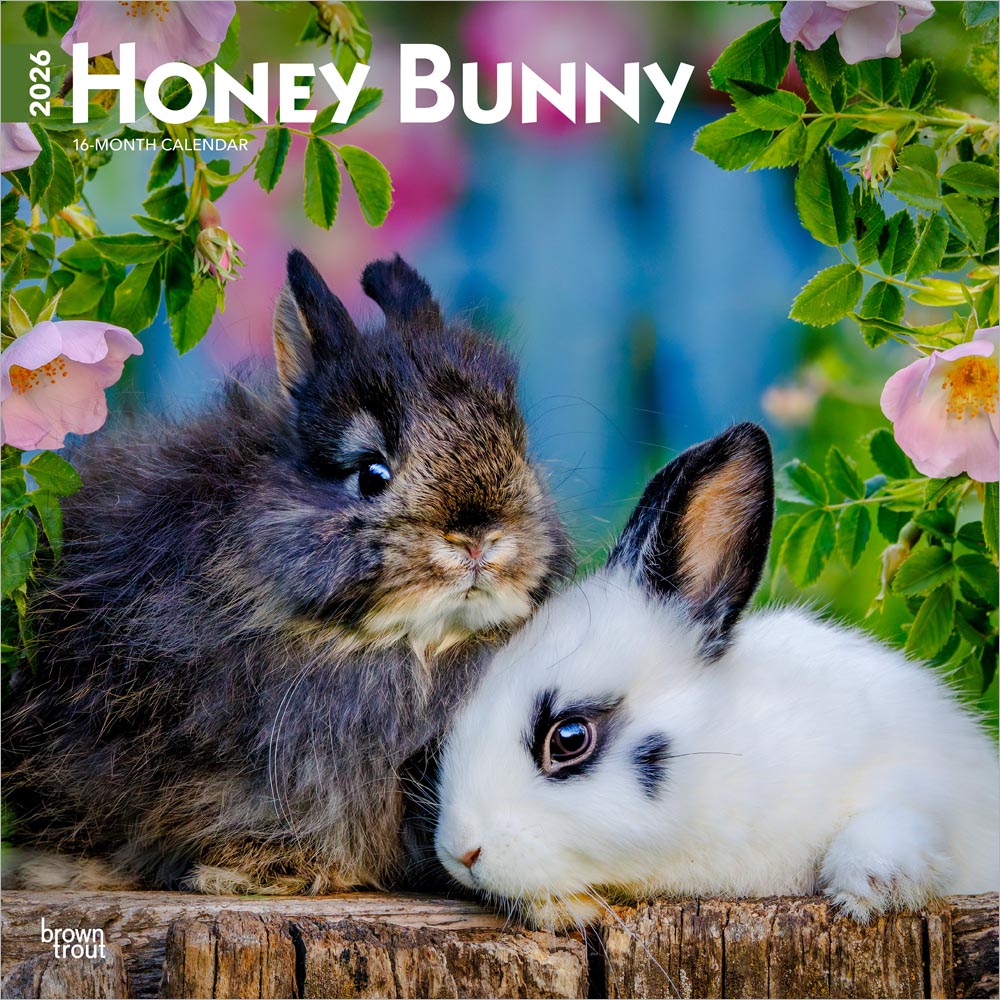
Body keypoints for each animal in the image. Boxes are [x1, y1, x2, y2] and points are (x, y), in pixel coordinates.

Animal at [434, 422, 999, 929]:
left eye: (570, 738)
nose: (462, 853)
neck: (725, 757)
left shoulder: (919, 782)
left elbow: (902, 821)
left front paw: (868, 889)